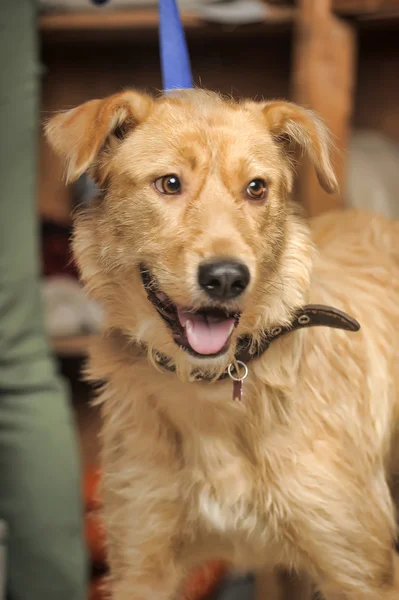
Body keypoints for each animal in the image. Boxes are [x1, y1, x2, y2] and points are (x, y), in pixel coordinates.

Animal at [46, 90, 399, 600]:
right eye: (170, 183)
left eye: (256, 188)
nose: (228, 278)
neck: (211, 385)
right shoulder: (141, 565)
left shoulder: (363, 573)